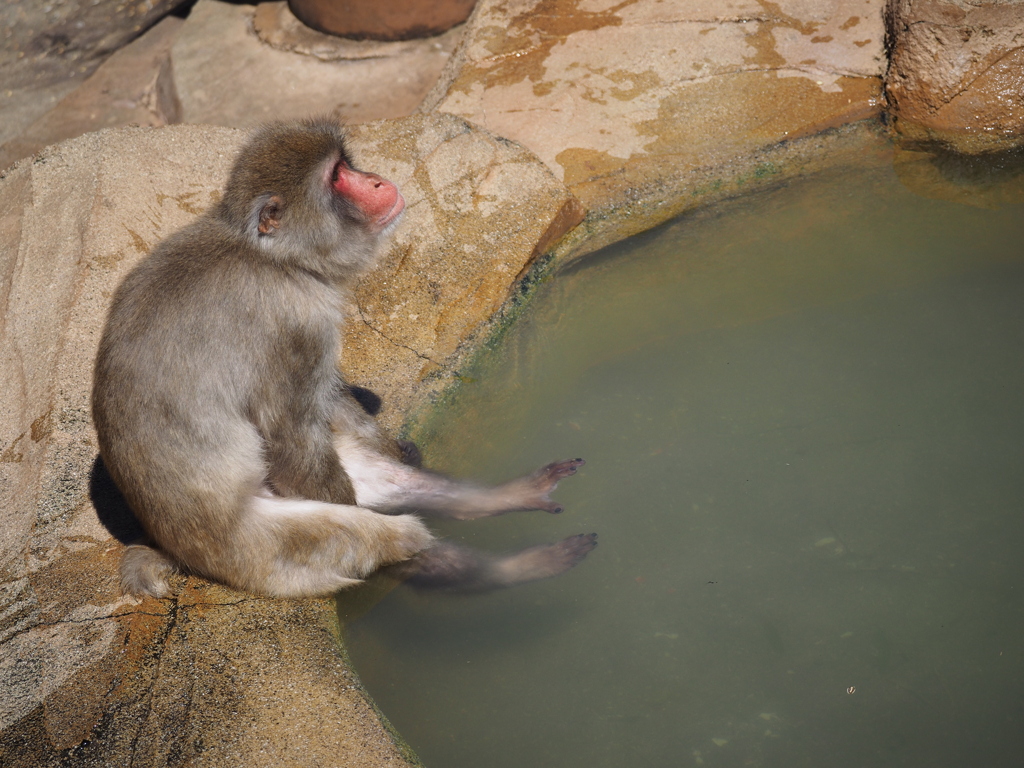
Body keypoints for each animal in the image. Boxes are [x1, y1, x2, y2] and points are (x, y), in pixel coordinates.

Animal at [92, 118, 598, 602]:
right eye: (337, 177)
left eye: (345, 164)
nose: (374, 180)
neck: (278, 259)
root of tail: (174, 549)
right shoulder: (294, 322)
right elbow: (292, 438)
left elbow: (332, 403)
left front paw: (401, 449)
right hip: (266, 554)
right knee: (386, 534)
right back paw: (513, 567)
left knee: (384, 478)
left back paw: (503, 497)